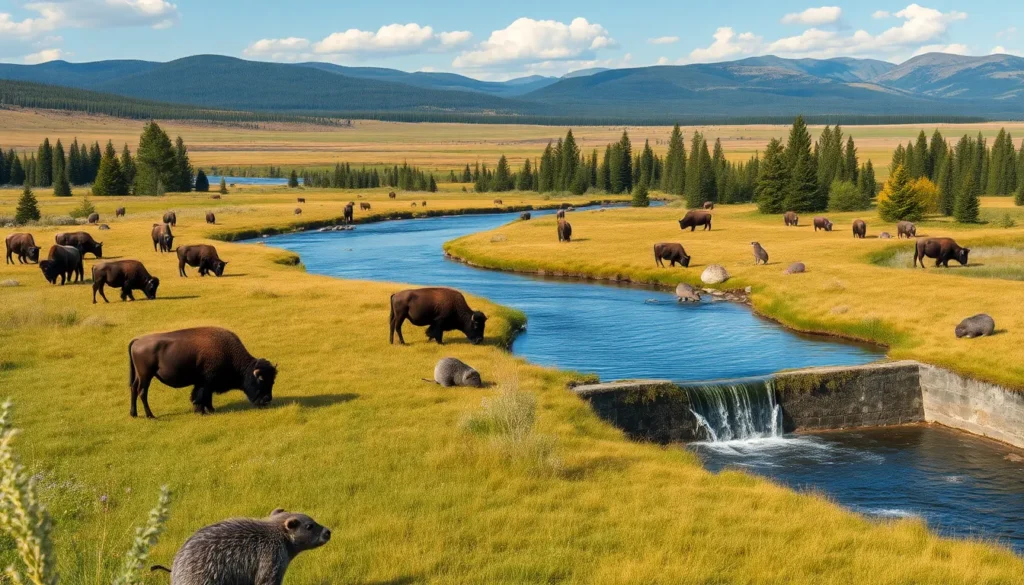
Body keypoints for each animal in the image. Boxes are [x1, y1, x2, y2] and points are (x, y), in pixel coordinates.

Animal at [128, 327, 276, 417]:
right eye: (261, 380)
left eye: (272, 381)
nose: (267, 399)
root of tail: (137, 341)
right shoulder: (206, 382)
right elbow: (201, 396)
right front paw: (202, 411)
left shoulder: (205, 383)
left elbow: (205, 397)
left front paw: (210, 410)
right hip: (146, 376)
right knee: (142, 392)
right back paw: (150, 415)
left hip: (139, 376)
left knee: (133, 389)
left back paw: (134, 414)